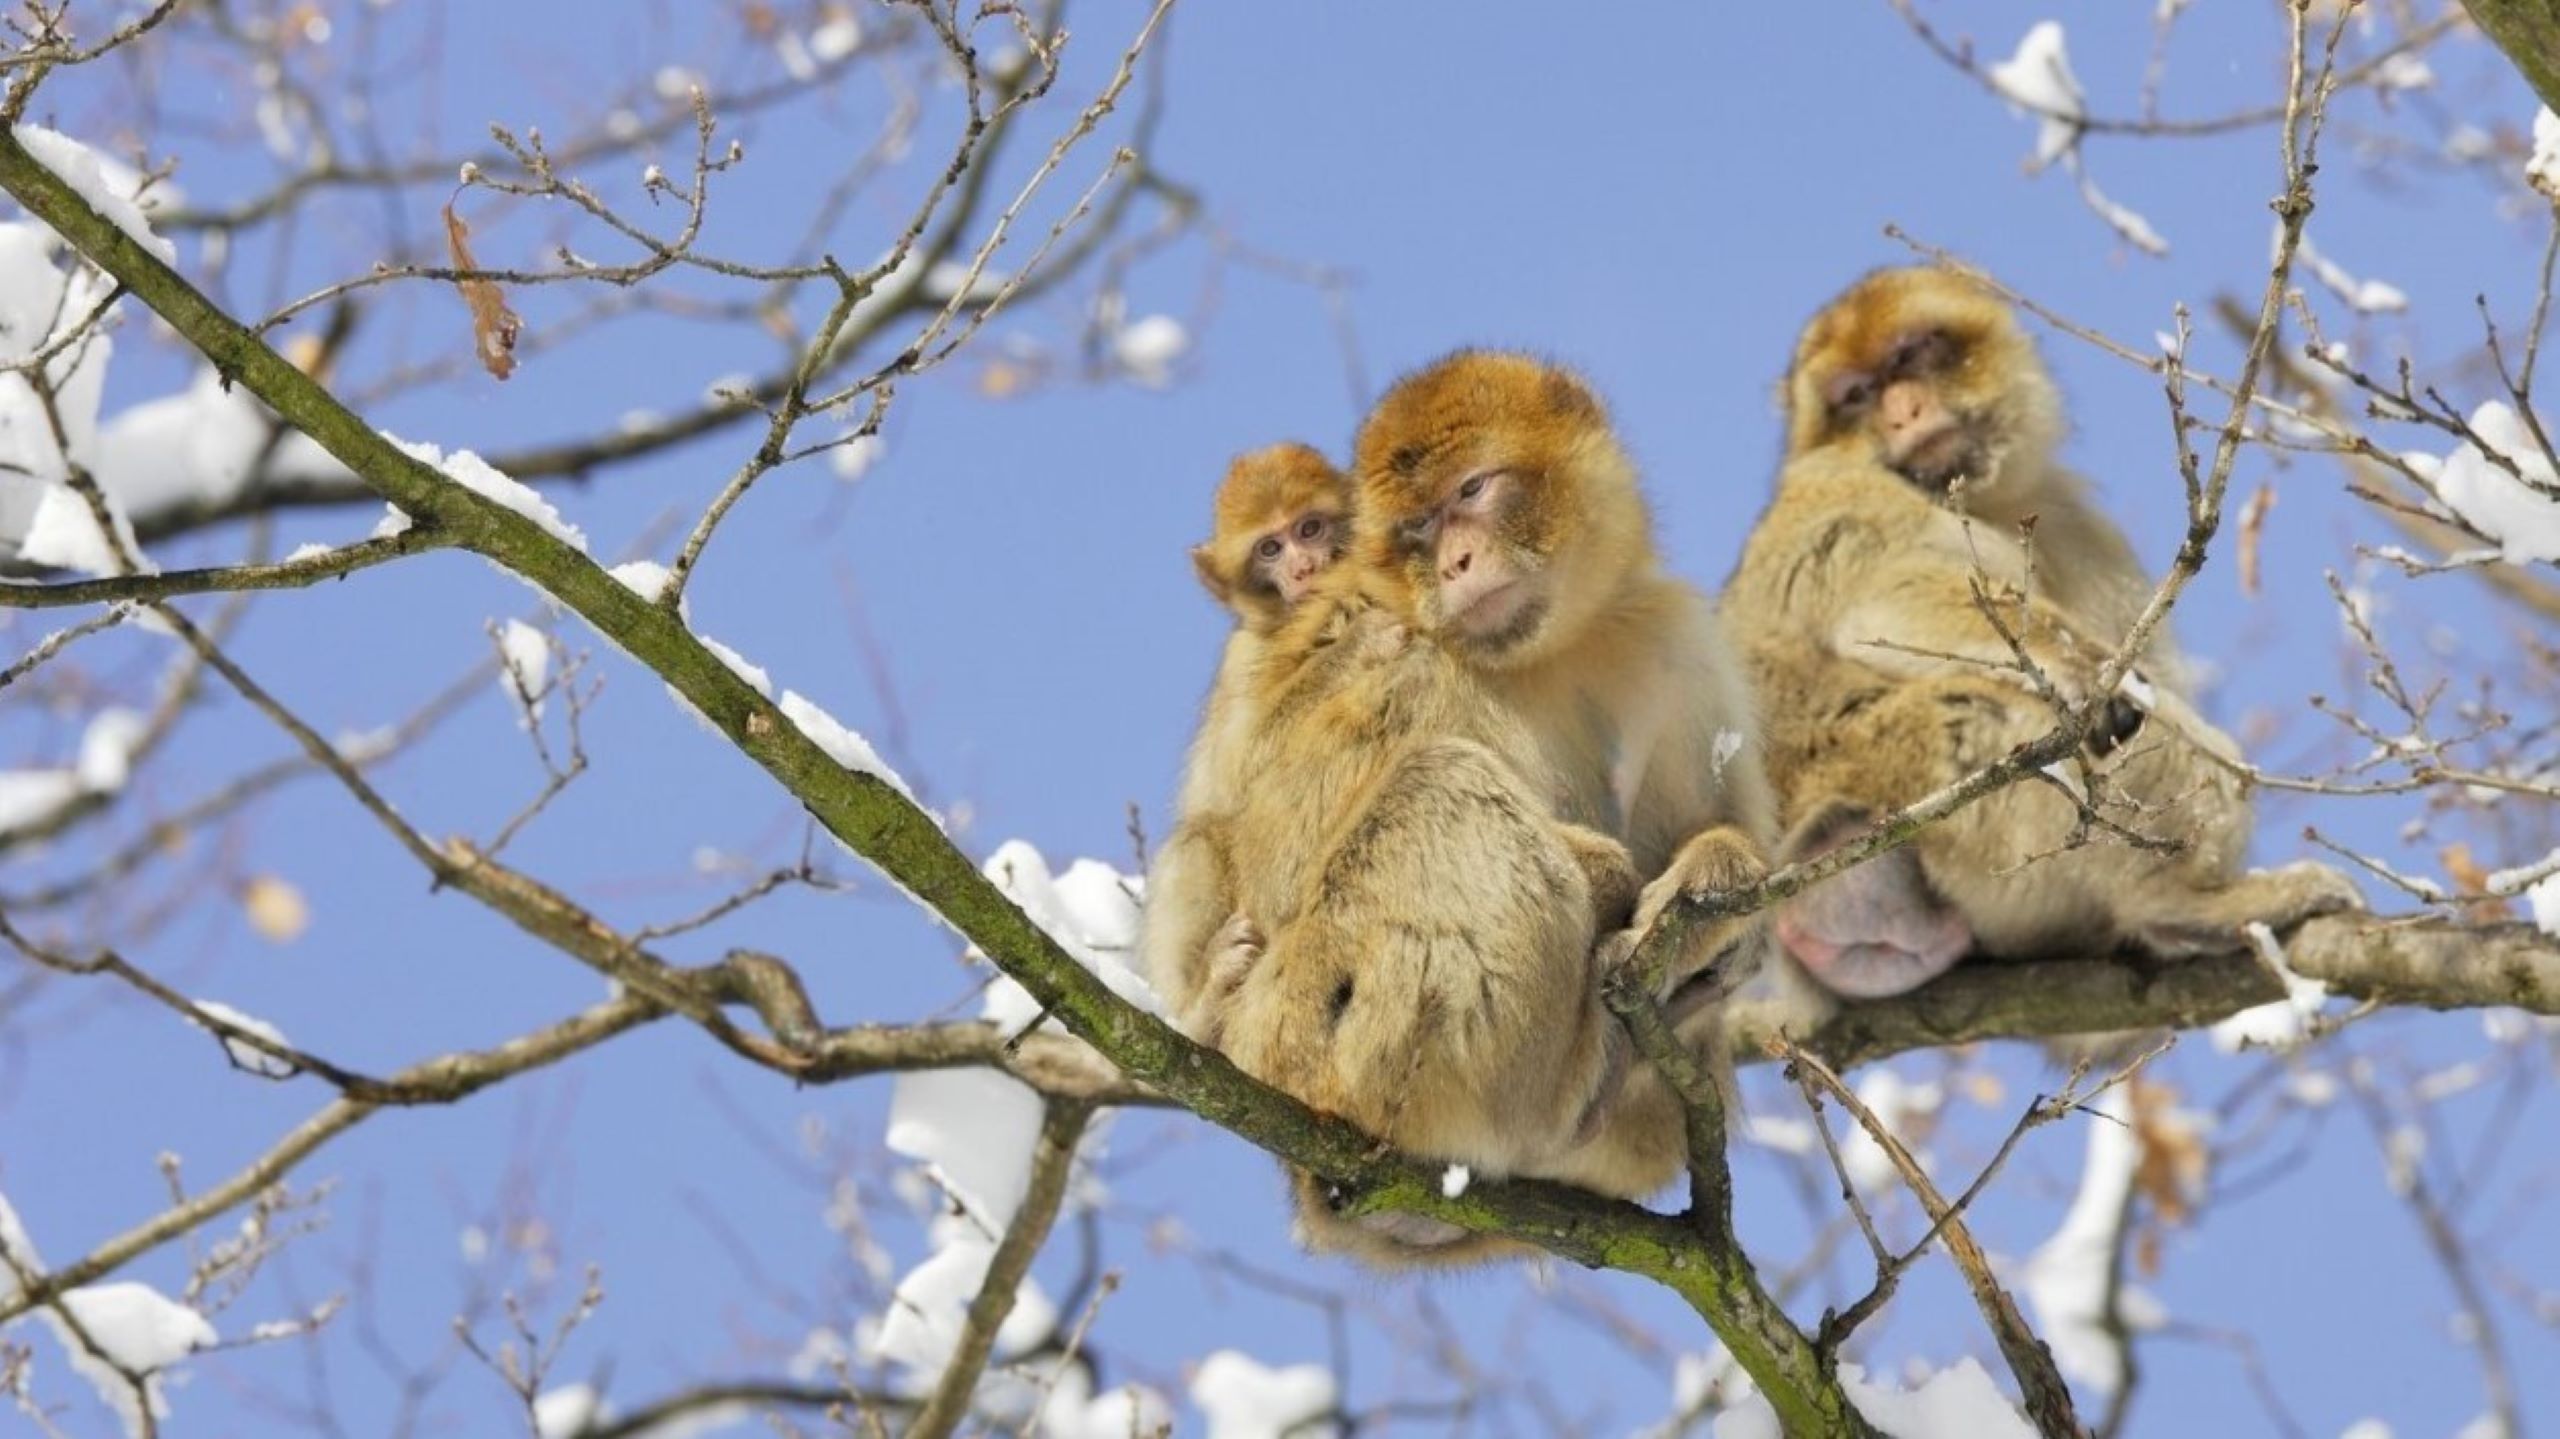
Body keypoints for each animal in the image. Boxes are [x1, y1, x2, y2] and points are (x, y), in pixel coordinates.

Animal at [1721, 265, 2360, 1018]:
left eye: (1909, 356)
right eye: (1856, 395)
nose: (1902, 412)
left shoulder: (2073, 519)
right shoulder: (1836, 489)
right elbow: (1887, 598)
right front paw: (2091, 683)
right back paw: (2182, 904)